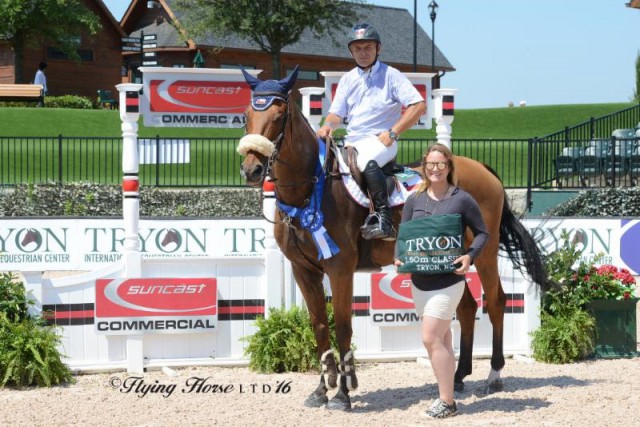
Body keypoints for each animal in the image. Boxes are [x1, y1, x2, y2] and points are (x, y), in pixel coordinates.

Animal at [237, 68, 549, 411]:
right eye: (247, 115)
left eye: (279, 115)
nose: (252, 169)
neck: (311, 190)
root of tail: (481, 167)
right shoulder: (303, 270)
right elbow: (319, 325)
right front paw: (321, 390)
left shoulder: (340, 268)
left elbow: (342, 326)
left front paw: (343, 394)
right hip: (455, 258)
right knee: (467, 307)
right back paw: (458, 376)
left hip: (485, 251)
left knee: (495, 301)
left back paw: (493, 375)